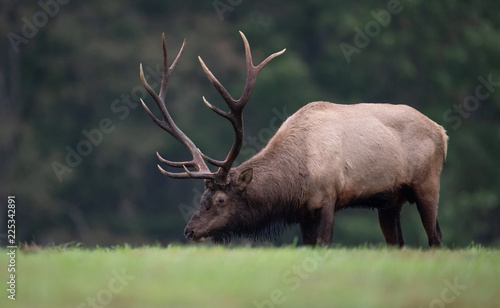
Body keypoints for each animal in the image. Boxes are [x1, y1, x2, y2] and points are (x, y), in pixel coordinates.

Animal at [139, 31, 448, 248]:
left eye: (220, 200)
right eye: (202, 196)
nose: (190, 230)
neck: (297, 178)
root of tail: (443, 133)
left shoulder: (327, 197)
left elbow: (324, 244)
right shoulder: (303, 212)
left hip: (428, 184)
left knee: (435, 236)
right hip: (389, 200)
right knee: (398, 243)